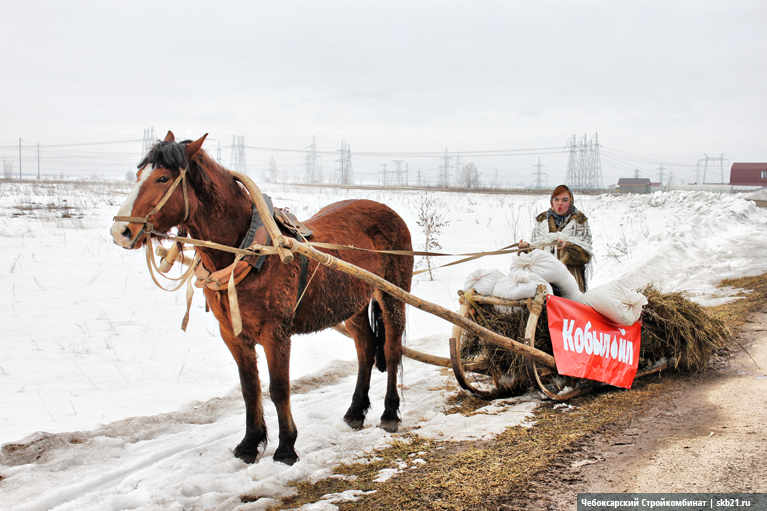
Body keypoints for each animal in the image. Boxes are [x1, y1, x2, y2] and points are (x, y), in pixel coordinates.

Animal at [109, 131, 414, 464]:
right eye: (139, 175)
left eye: (163, 177)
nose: (121, 231)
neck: (247, 252)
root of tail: (390, 213)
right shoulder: (232, 333)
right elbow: (250, 389)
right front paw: (249, 444)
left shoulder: (275, 332)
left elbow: (279, 389)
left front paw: (285, 448)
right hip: (353, 304)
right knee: (366, 349)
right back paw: (356, 411)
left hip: (392, 295)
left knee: (392, 349)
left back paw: (390, 413)